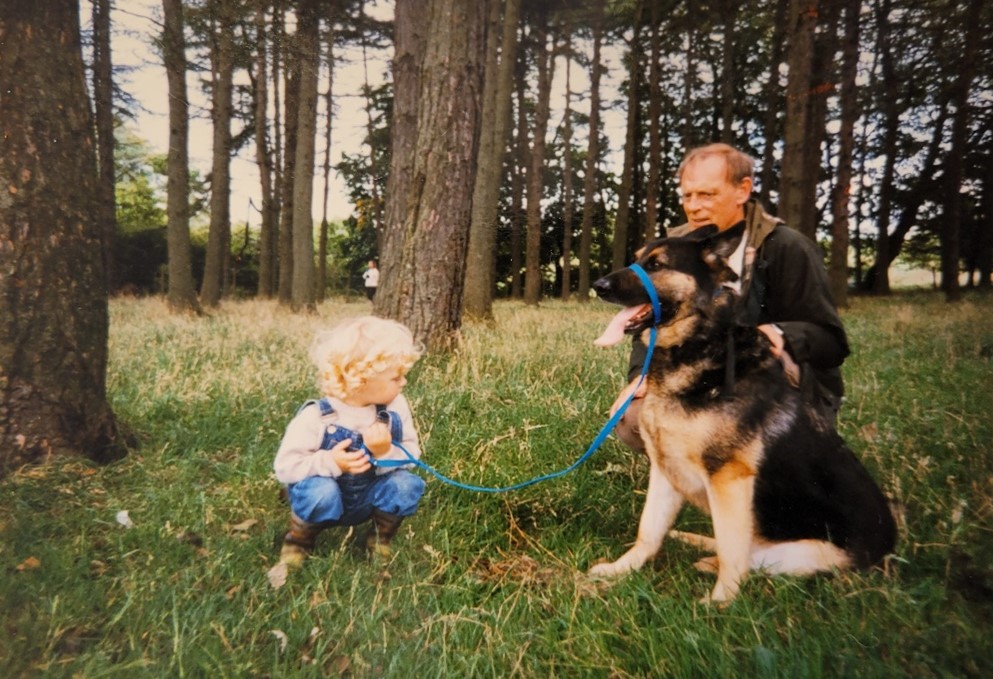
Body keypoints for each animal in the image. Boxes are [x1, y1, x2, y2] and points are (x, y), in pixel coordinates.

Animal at [584, 226, 896, 604]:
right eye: (637, 258)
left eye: (657, 264)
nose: (598, 285)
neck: (698, 346)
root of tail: (887, 554)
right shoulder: (665, 468)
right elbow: (648, 531)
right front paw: (622, 570)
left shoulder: (729, 480)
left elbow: (733, 551)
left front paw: (719, 603)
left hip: (800, 554)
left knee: (749, 558)